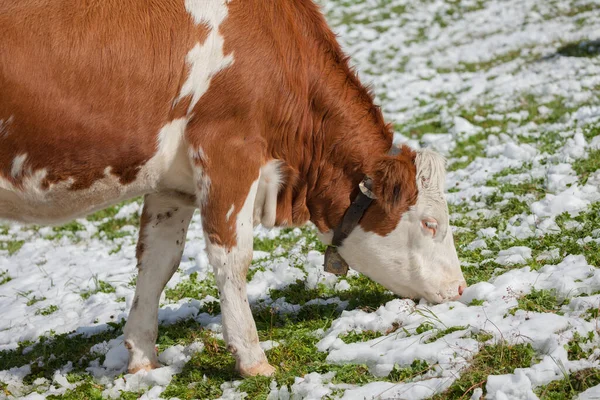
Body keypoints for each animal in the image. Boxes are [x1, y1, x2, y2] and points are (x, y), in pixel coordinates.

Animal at [0, 0, 466, 376]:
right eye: (429, 223)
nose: (461, 288)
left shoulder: (172, 184)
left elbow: (158, 263)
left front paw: (142, 359)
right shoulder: (228, 152)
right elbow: (233, 259)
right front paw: (252, 359)